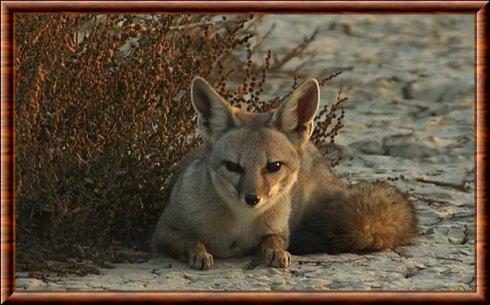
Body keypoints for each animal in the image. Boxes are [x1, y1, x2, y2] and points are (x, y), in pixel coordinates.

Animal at [153, 76, 418, 268]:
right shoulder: (163, 230)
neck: (240, 224)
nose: (252, 198)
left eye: (273, 166)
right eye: (233, 166)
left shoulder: (281, 230)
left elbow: (274, 240)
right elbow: (191, 238)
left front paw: (275, 251)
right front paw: (199, 253)